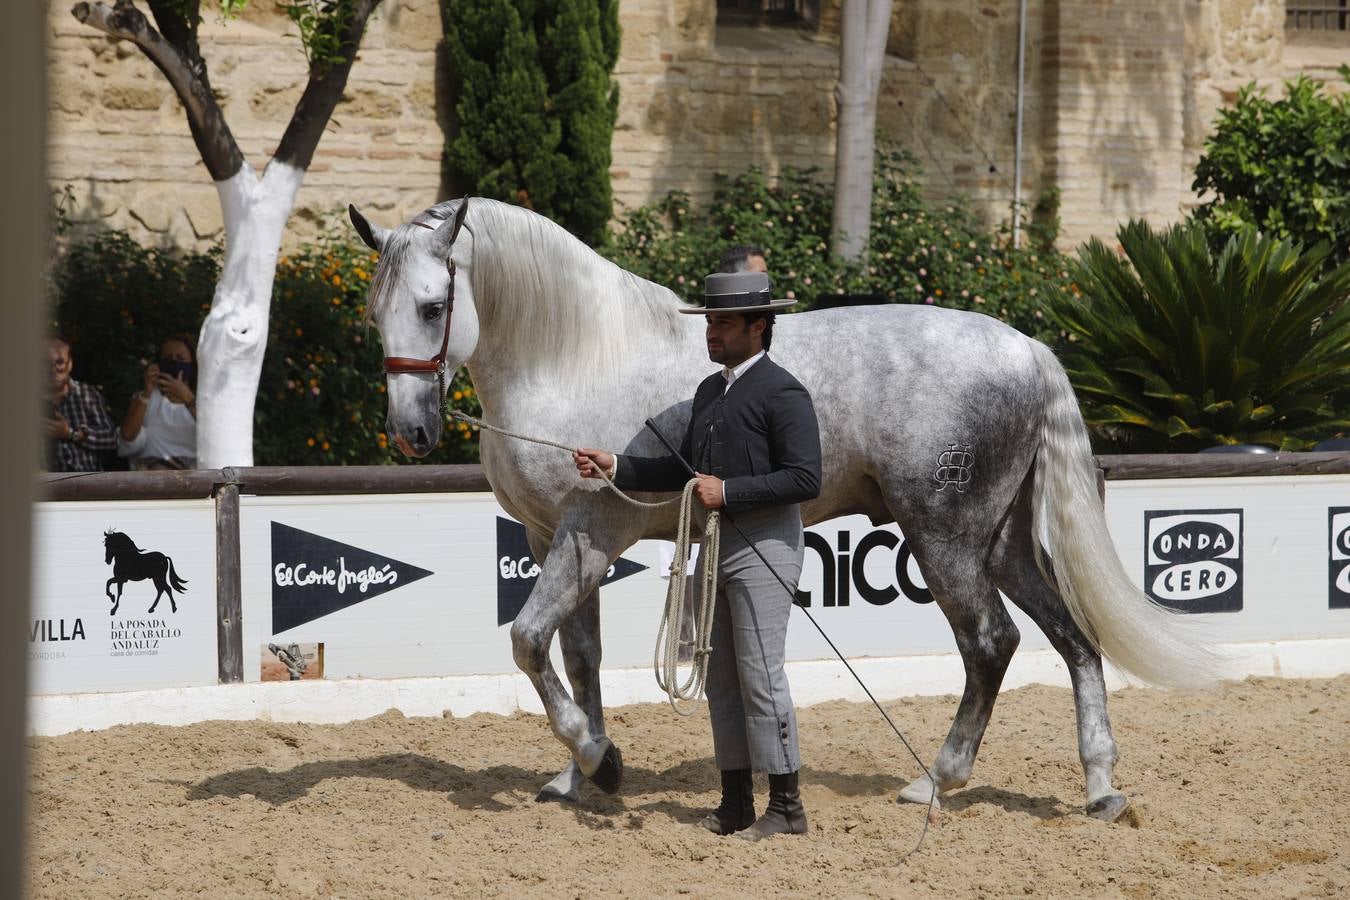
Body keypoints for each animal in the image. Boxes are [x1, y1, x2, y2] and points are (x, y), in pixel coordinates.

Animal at [348, 197, 1215, 825]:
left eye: (433, 305)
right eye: (374, 311)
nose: (410, 432)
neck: (579, 353)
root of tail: (1028, 350)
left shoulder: (594, 528)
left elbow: (529, 642)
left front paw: (601, 762)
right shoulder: (548, 534)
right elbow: (577, 657)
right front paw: (578, 772)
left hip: (946, 538)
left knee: (991, 645)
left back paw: (937, 782)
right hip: (1001, 543)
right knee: (1074, 641)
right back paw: (1099, 787)